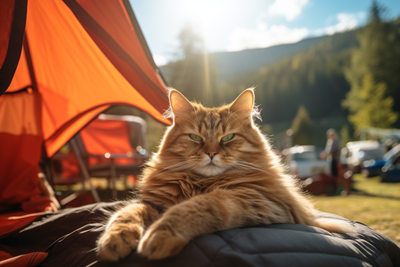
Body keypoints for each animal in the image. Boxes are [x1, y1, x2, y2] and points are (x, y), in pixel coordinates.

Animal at [97, 89, 354, 262]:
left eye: (228, 138)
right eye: (195, 138)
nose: (211, 153)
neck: (200, 182)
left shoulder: (255, 201)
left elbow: (198, 206)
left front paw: (160, 235)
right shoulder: (153, 203)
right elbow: (126, 214)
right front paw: (114, 240)